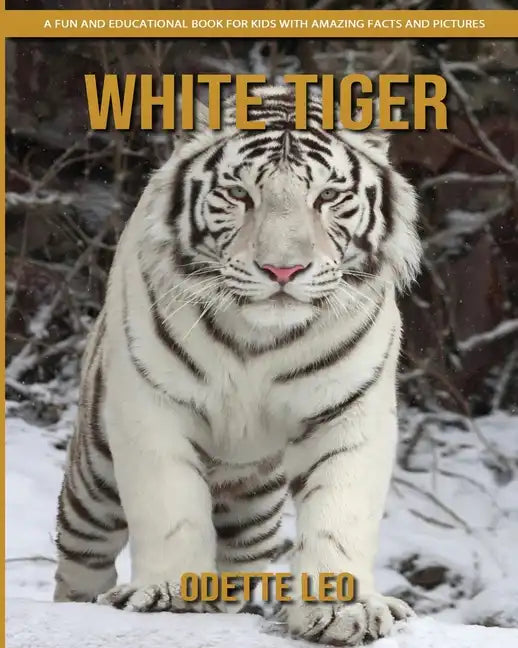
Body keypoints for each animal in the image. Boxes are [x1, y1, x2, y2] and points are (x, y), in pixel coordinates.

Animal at [53, 85, 421, 646]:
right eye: (239, 195)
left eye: (328, 198)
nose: (283, 270)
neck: (259, 339)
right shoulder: (150, 405)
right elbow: (170, 506)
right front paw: (170, 594)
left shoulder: (350, 412)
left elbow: (339, 515)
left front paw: (344, 609)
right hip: (93, 480)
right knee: (80, 563)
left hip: (254, 509)